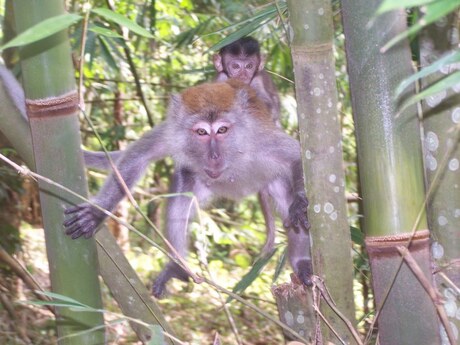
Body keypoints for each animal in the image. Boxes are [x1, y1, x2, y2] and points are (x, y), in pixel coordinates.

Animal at [62, 79, 312, 296]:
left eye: (222, 130)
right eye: (201, 132)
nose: (213, 156)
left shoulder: (259, 138)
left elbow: (297, 156)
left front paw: (300, 202)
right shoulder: (173, 132)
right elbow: (137, 157)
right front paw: (97, 212)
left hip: (272, 180)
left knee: (287, 205)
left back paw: (301, 262)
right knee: (180, 199)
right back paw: (177, 267)